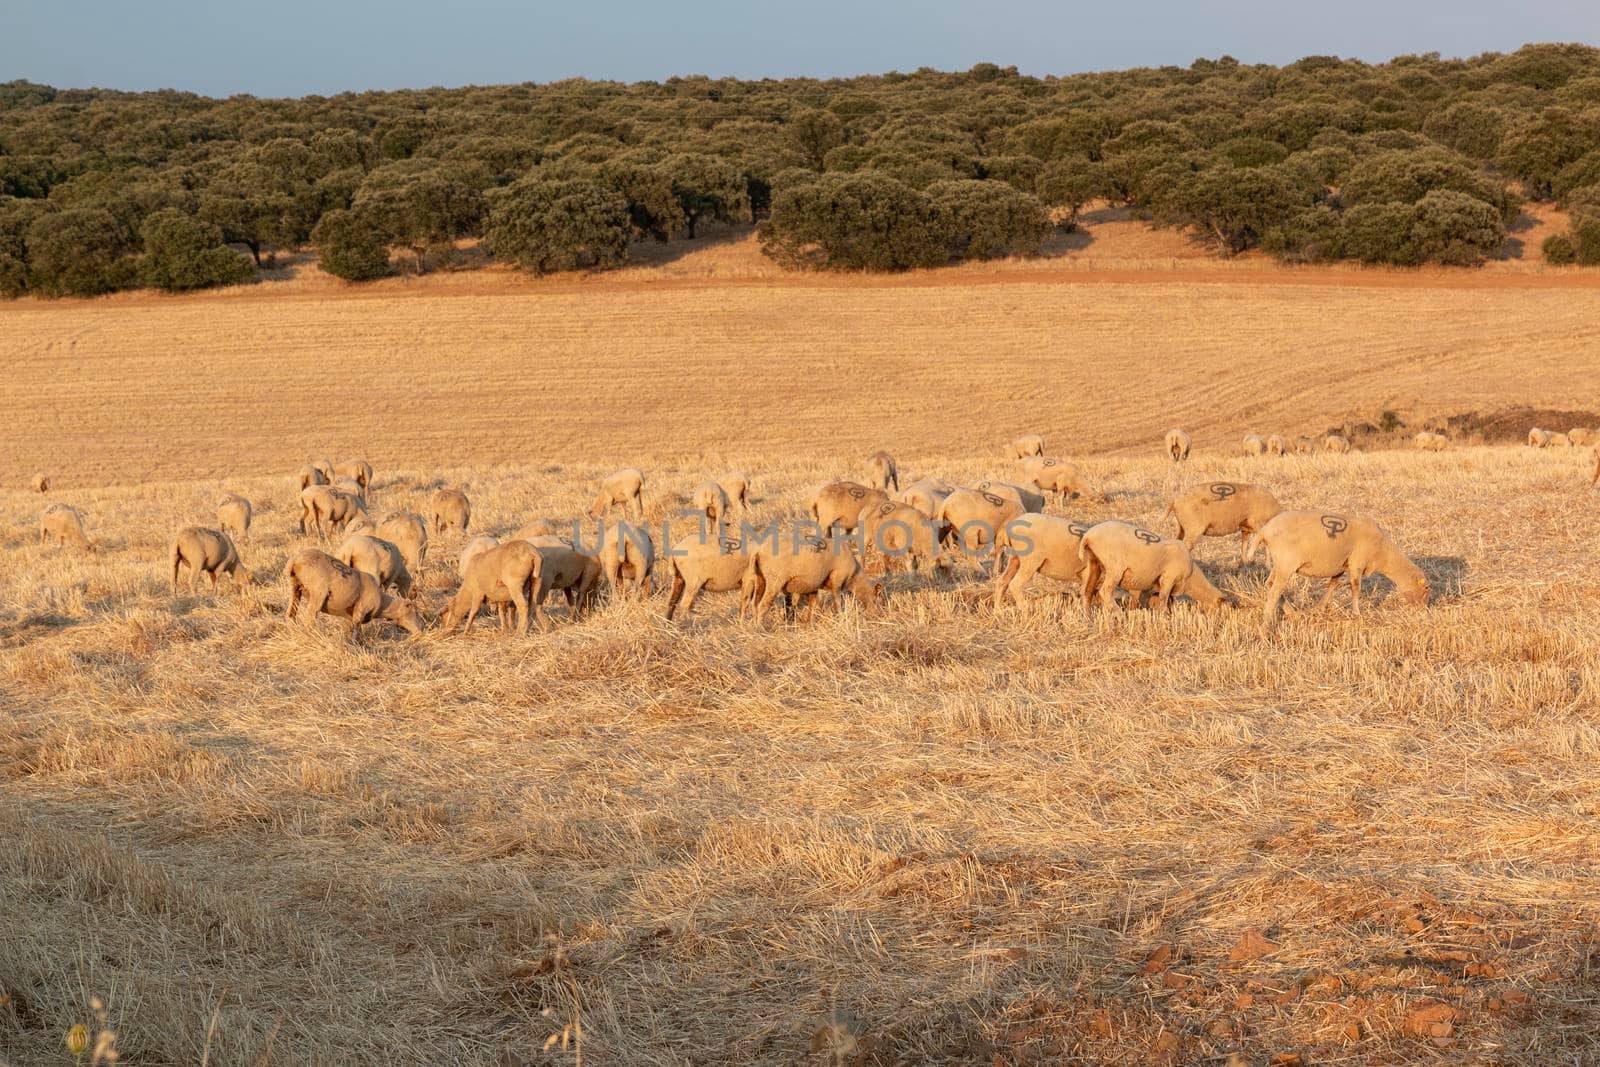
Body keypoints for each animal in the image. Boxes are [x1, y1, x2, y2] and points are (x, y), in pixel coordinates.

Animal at [288, 547, 422, 639]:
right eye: (413, 611)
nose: (421, 628)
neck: (383, 604)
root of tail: (295, 561)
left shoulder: (351, 614)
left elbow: (353, 628)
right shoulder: (361, 609)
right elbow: (356, 628)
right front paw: (354, 644)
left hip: (295, 587)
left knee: (291, 613)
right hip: (317, 592)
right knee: (309, 618)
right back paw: (313, 636)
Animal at [739, 534, 883, 627]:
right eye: (878, 599)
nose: (879, 616)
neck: (855, 576)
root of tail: (759, 551)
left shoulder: (813, 586)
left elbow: (812, 605)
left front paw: (809, 623)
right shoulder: (837, 579)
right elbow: (838, 602)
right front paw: (841, 619)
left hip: (760, 578)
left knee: (755, 604)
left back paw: (753, 626)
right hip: (775, 579)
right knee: (763, 604)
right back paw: (760, 628)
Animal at [1081, 521, 1228, 614]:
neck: (1192, 579)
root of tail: (1089, 536)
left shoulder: (1143, 586)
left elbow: (1145, 602)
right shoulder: (1168, 578)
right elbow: (1163, 600)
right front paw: (1165, 617)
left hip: (1094, 563)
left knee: (1087, 591)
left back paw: (1087, 616)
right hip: (1114, 567)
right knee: (1105, 591)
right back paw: (1118, 612)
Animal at [1248, 508, 1427, 627]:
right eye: (1426, 590)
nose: (1423, 610)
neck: (1384, 553)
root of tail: (1265, 531)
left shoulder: (1340, 566)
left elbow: (1332, 585)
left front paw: (1320, 608)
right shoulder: (1357, 563)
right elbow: (1355, 588)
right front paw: (1357, 614)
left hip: (1280, 564)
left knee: (1270, 584)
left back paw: (1293, 614)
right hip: (1287, 563)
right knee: (1275, 590)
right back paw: (1267, 621)